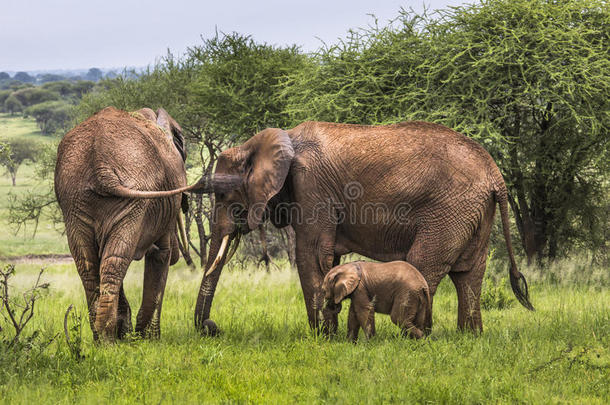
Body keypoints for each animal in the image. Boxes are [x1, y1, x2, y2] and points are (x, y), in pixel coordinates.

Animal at [54, 105, 238, 340]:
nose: (211, 326)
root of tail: (100, 167)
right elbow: (161, 254)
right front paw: (149, 338)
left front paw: (132, 335)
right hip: (127, 200)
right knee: (115, 262)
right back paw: (108, 340)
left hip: (76, 202)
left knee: (93, 265)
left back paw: (102, 338)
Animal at [190, 120, 532, 334]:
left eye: (223, 196)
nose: (212, 328)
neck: (273, 140)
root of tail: (495, 174)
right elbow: (328, 259)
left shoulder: (311, 187)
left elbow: (310, 255)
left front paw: (322, 338)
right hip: (474, 212)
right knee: (469, 275)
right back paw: (468, 338)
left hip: (449, 211)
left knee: (423, 264)